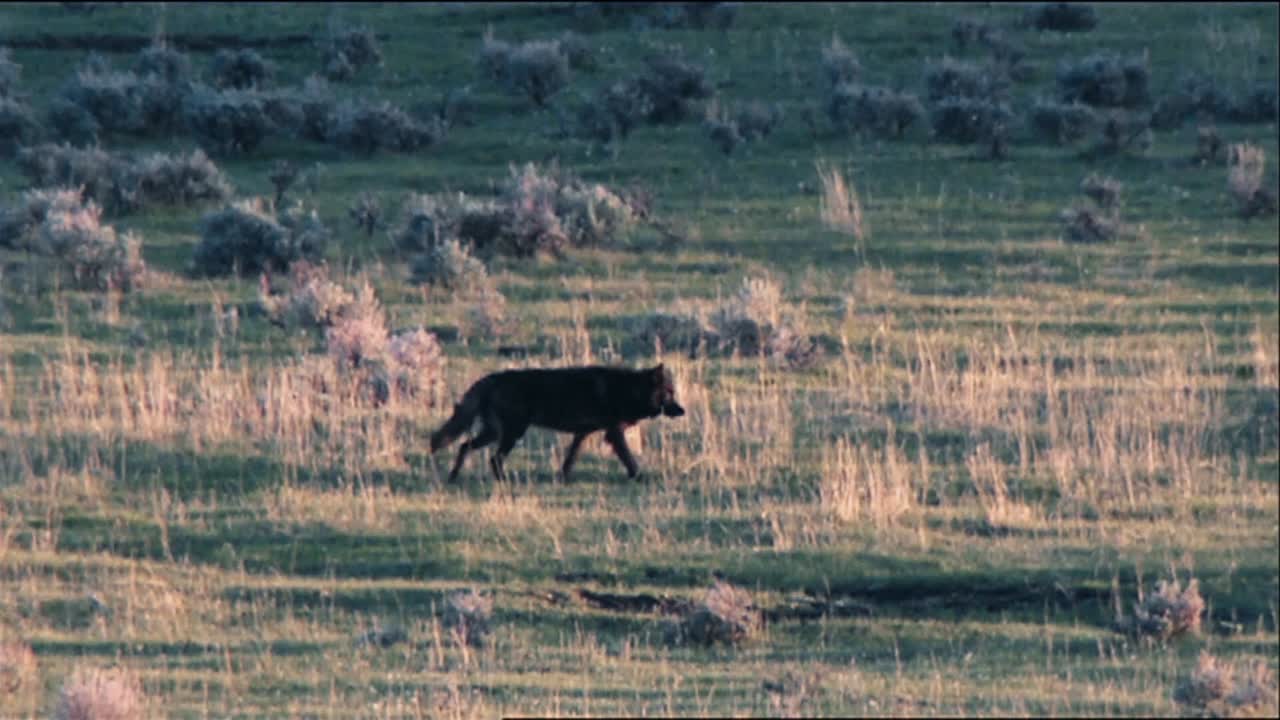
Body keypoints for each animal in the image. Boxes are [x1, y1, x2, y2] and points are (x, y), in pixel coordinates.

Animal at [430, 364, 685, 482]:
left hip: (495, 433)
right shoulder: (613, 434)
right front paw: (639, 477)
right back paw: (503, 481)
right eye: (670, 394)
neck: (628, 390)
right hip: (511, 434)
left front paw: (562, 478)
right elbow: (629, 459)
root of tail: (490, 378)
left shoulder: (582, 433)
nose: (683, 411)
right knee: (494, 458)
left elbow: (570, 459)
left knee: (464, 446)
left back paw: (453, 477)